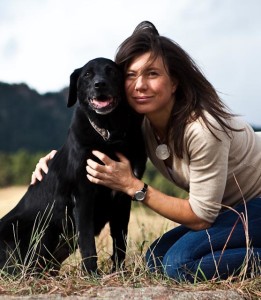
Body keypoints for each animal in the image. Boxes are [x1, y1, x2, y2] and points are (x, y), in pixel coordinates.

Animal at [0, 57, 146, 276]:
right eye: (87, 74)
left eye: (111, 71)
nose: (100, 84)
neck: (108, 135)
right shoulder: (83, 195)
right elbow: (87, 242)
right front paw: (92, 274)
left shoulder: (123, 197)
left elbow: (120, 241)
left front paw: (119, 272)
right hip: (41, 226)